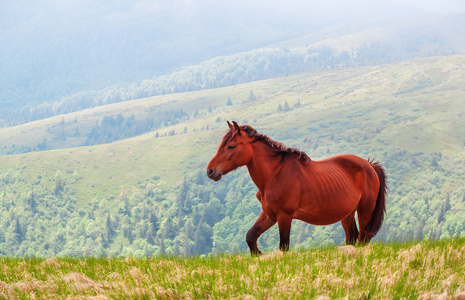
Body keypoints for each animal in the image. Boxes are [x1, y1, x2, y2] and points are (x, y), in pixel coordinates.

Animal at [206, 120, 384, 254]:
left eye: (231, 146)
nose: (210, 171)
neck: (275, 175)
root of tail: (369, 165)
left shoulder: (284, 216)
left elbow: (284, 246)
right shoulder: (269, 215)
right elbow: (250, 236)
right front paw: (258, 254)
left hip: (364, 211)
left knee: (362, 238)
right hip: (347, 213)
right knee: (352, 237)